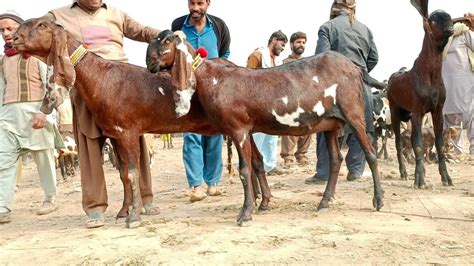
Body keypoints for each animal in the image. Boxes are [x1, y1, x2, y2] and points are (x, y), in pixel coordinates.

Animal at [146, 30, 384, 225]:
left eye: (166, 41)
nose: (149, 62)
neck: (214, 79)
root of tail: (355, 67)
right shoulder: (247, 129)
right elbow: (258, 164)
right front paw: (264, 203)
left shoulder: (238, 129)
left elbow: (244, 170)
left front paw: (245, 213)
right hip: (331, 124)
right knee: (336, 160)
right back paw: (324, 202)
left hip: (353, 113)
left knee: (370, 154)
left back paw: (378, 200)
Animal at [386, 0, 454, 188]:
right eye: (434, 20)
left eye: (449, 17)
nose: (451, 27)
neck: (430, 74)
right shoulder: (417, 110)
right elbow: (417, 144)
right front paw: (420, 181)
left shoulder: (437, 110)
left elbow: (438, 144)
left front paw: (446, 178)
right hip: (394, 111)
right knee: (398, 142)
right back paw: (404, 173)